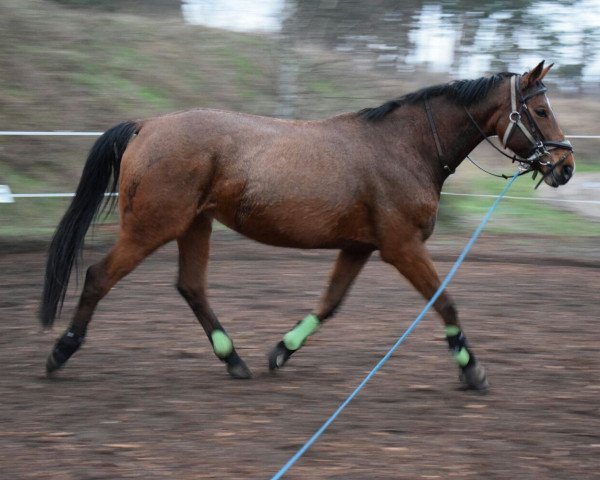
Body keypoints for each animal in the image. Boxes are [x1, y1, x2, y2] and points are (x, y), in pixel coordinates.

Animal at [39, 61, 576, 390]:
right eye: (541, 110)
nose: (565, 167)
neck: (405, 148)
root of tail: (147, 125)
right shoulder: (401, 247)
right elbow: (445, 302)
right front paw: (473, 372)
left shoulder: (360, 247)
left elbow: (330, 304)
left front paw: (282, 351)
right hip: (153, 227)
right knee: (99, 277)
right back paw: (60, 353)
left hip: (194, 225)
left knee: (191, 287)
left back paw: (235, 360)